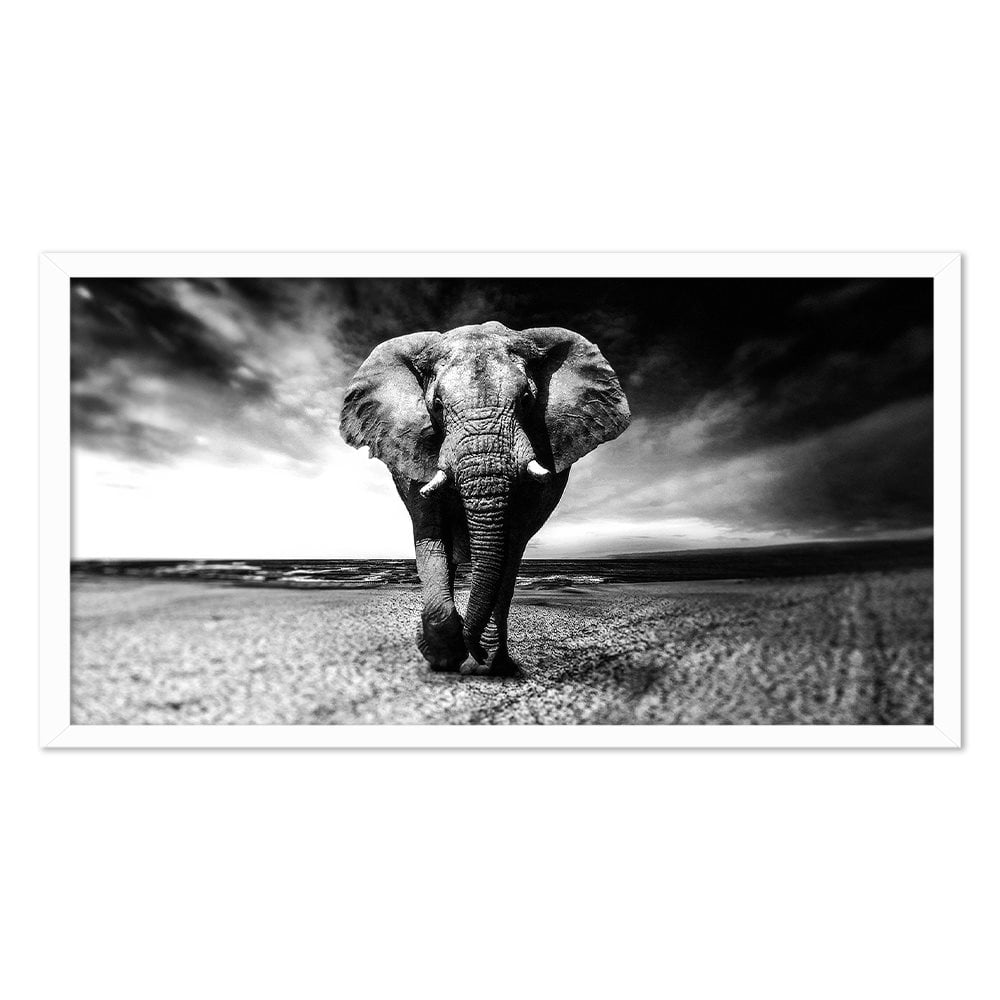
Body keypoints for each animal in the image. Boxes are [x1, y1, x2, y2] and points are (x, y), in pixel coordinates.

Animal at [339, 320, 630, 675]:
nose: (473, 649)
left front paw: (484, 662)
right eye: (437, 405)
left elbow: (511, 543)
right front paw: (443, 657)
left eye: (527, 400)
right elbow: (430, 533)